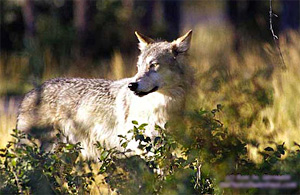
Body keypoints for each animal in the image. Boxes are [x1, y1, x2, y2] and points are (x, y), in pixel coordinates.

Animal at [17, 30, 195, 158]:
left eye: (153, 65)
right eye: (139, 67)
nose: (132, 85)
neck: (160, 107)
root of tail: (30, 93)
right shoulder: (139, 149)